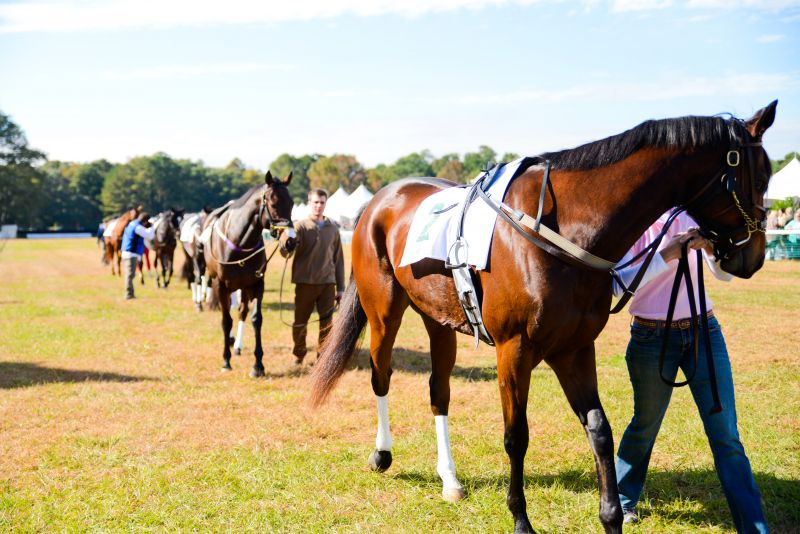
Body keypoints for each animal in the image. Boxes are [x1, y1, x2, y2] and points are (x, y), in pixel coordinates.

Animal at [203, 172, 294, 376]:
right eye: (273, 203)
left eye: (292, 203)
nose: (291, 241)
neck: (239, 242)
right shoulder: (221, 285)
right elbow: (226, 320)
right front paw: (226, 361)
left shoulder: (257, 284)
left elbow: (255, 319)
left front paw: (258, 365)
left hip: (243, 287)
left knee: (242, 311)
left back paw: (237, 345)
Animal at [310, 101, 780, 534]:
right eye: (760, 178)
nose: (753, 257)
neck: (561, 230)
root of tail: (379, 200)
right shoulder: (514, 351)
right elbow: (516, 436)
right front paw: (520, 519)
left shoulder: (574, 348)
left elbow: (600, 428)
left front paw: (611, 516)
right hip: (384, 312)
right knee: (381, 374)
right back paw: (382, 454)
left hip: (438, 320)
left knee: (438, 390)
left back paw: (450, 480)